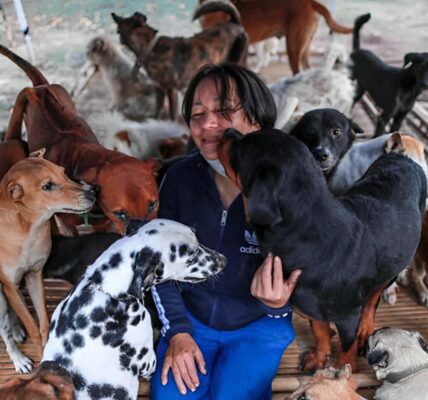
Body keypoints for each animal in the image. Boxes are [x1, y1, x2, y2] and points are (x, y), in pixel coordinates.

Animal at [0, 150, 94, 372]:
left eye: (64, 172)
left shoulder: (34, 276)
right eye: (47, 186)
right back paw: (18, 358)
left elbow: (43, 325)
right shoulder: (9, 284)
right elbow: (33, 329)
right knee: (5, 331)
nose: (92, 192)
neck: (27, 230)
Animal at [112, 0, 249, 119]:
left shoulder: (171, 90)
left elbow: (172, 115)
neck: (151, 47)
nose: (114, 16)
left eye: (118, 30)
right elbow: (158, 108)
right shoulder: (159, 89)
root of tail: (235, 23)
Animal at [219, 127, 426, 368]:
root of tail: (404, 159)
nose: (227, 130)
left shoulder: (348, 317)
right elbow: (319, 329)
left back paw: (366, 328)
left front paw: (341, 370)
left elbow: (346, 348)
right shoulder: (310, 305)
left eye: (241, 149)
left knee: (373, 299)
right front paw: (318, 357)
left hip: (393, 268)